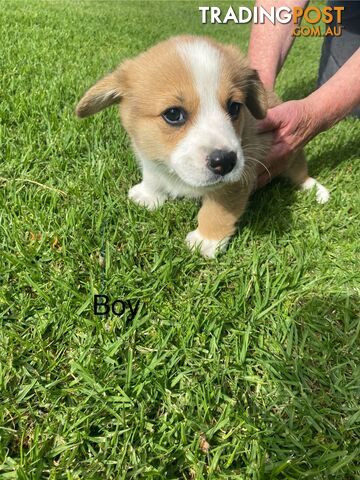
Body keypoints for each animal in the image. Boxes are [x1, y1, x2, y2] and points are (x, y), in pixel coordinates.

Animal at [76, 35, 330, 258]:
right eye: (173, 114)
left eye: (234, 107)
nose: (225, 162)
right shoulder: (151, 159)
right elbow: (152, 176)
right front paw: (148, 195)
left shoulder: (237, 179)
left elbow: (218, 211)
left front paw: (206, 240)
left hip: (293, 155)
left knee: (300, 173)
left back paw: (317, 191)